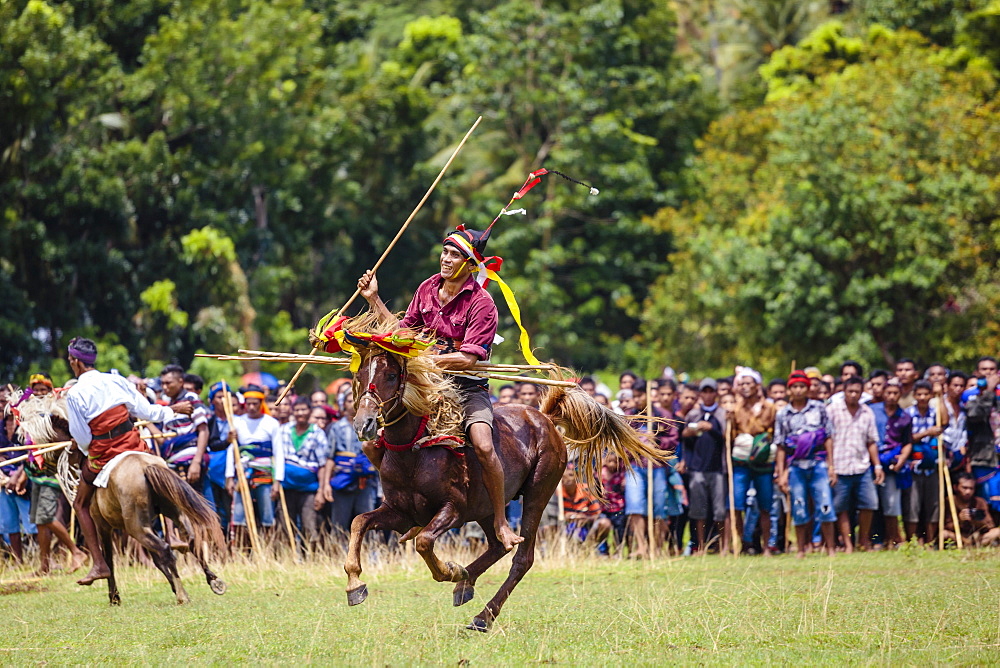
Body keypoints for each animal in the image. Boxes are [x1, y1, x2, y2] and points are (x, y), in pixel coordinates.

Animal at [11, 392, 227, 604]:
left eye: (36, 441)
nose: (34, 466)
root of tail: (146, 467)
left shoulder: (103, 525)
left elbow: (109, 559)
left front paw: (113, 595)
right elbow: (156, 560)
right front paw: (173, 586)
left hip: (135, 527)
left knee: (166, 550)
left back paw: (182, 595)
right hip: (170, 513)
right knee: (190, 540)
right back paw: (212, 579)